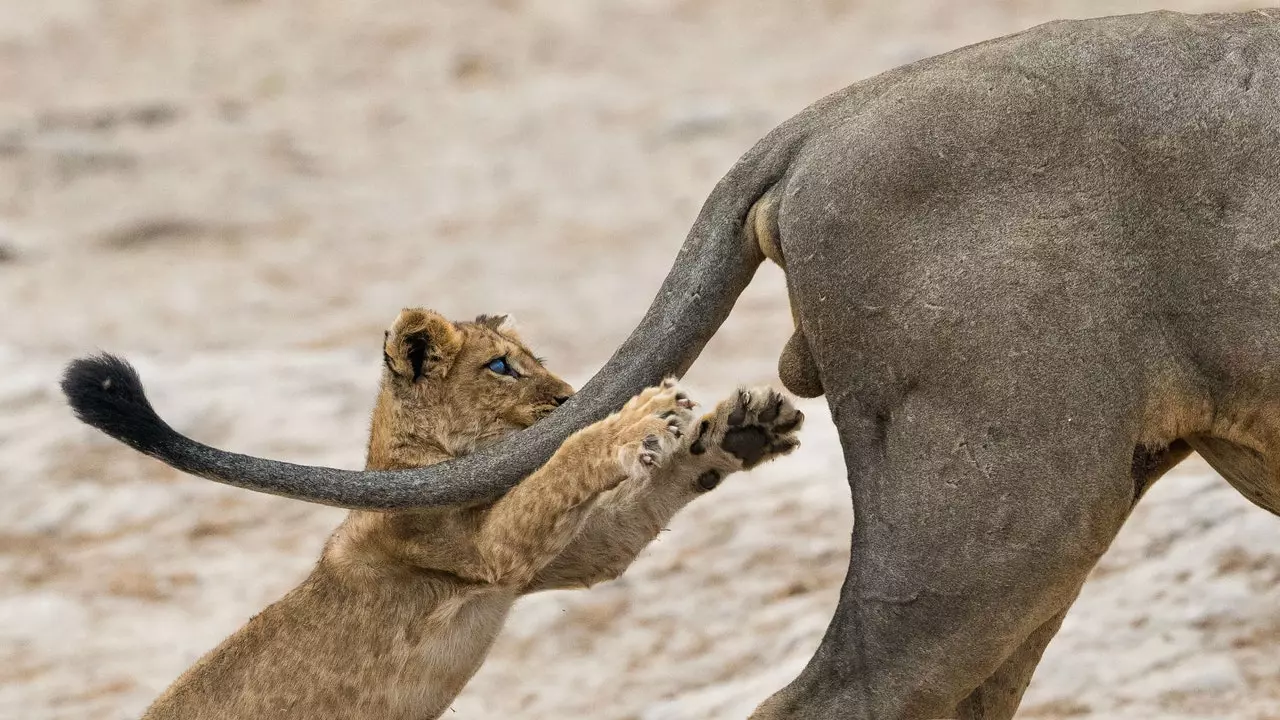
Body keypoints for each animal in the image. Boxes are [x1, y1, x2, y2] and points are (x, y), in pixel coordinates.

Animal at [64, 8, 1280, 712]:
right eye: (502, 369)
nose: (560, 391)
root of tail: (831, 115)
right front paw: (643, 424)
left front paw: (706, 432)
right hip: (1002, 502)